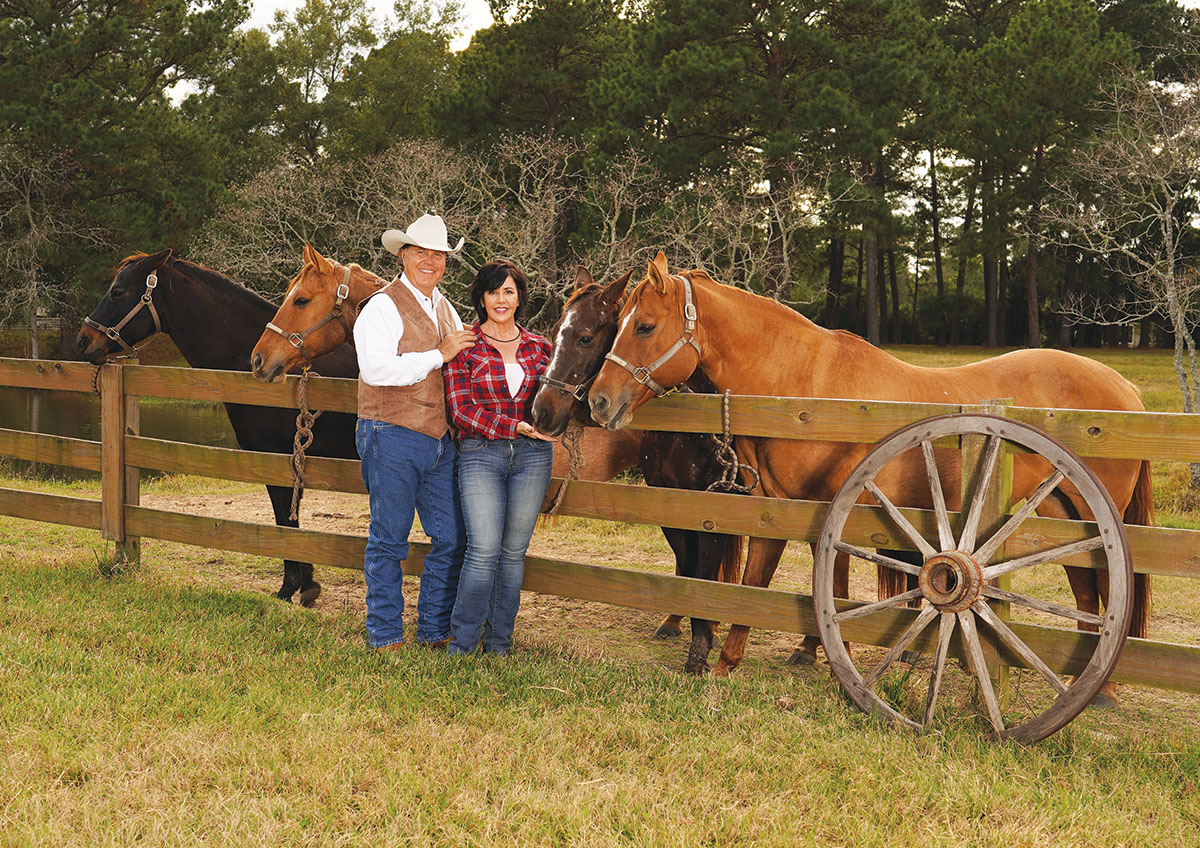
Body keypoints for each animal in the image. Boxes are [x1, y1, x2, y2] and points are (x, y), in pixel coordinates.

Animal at [76, 248, 360, 606]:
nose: (83, 340)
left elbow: (284, 520)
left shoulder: (272, 456)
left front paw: (291, 588)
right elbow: (290, 519)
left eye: (117, 292)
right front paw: (304, 585)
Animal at [590, 254, 1152, 690]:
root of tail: (1126, 388)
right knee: (1086, 591)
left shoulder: (839, 512)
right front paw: (727, 664)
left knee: (1106, 591)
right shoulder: (776, 510)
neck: (806, 389)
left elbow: (831, 588)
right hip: (1065, 514)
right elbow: (755, 581)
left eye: (644, 326)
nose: (598, 401)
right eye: (617, 325)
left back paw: (1101, 686)